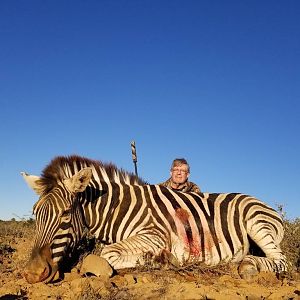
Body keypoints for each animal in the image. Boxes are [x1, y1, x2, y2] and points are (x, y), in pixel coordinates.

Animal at [21, 156, 286, 282]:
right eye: (35, 212)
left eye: (65, 213)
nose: (32, 274)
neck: (118, 209)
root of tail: (267, 206)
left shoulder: (155, 235)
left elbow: (108, 254)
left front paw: (162, 260)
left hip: (256, 223)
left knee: (281, 261)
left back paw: (246, 265)